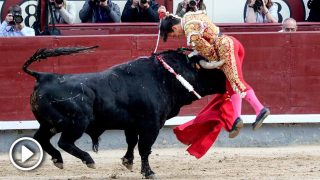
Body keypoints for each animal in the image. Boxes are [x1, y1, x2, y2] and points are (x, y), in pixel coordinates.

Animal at [22, 46, 226, 177]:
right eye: (214, 71)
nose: (227, 84)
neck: (166, 77)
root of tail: (43, 77)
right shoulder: (151, 125)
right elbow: (144, 147)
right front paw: (148, 172)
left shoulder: (132, 126)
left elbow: (131, 143)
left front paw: (128, 162)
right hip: (76, 123)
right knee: (64, 142)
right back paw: (88, 160)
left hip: (49, 124)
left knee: (40, 138)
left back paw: (58, 160)